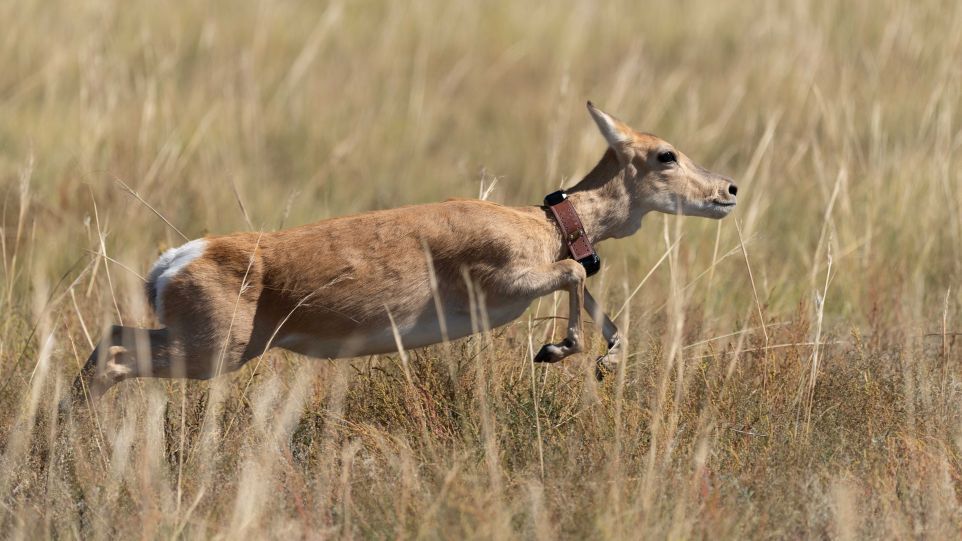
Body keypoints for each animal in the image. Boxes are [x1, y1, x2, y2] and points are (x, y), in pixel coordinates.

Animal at [71, 102, 737, 402]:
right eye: (665, 154)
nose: (728, 190)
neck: (542, 221)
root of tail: (178, 260)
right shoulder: (511, 284)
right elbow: (577, 270)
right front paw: (557, 349)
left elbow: (597, 295)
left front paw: (602, 358)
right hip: (215, 354)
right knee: (115, 358)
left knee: (108, 340)